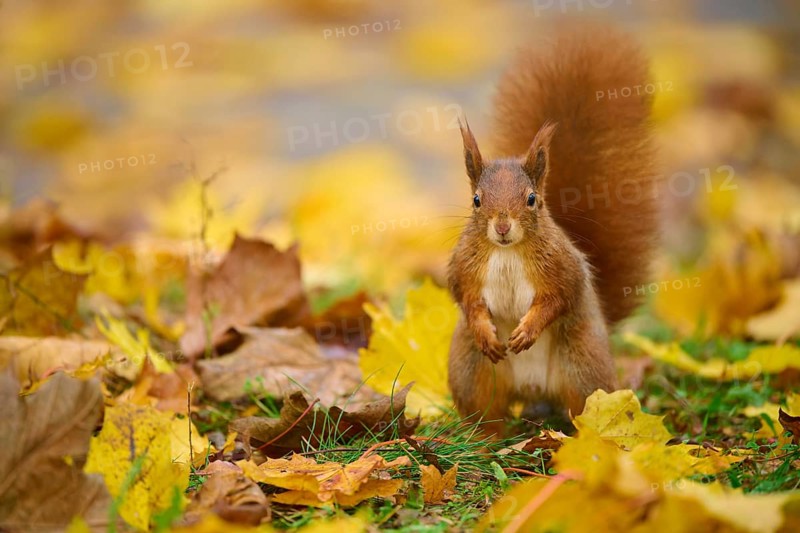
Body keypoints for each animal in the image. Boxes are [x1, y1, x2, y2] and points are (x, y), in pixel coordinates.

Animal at [447, 27, 658, 436]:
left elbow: (559, 296)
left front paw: (527, 330)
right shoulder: (464, 266)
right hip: (472, 370)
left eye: (532, 199)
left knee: (585, 407)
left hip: (582, 365)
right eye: (477, 200)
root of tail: (533, 391)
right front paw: (485, 329)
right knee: (486, 413)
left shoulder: (561, 266)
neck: (507, 251)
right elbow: (466, 297)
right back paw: (486, 439)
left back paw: (583, 438)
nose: (502, 226)